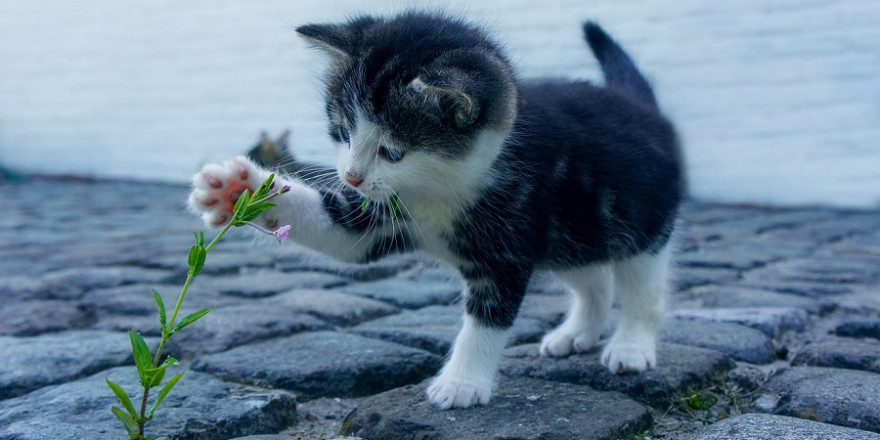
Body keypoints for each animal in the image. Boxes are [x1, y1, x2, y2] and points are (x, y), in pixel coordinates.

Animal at [191, 12, 688, 412]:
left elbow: (487, 319)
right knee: (594, 279)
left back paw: (630, 346)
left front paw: (461, 383)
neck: (437, 189)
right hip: (571, 232)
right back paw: (576, 333)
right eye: (343, 132)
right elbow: (341, 233)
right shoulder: (381, 214)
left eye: (392, 151)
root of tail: (641, 106)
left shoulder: (507, 243)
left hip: (640, 222)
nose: (351, 176)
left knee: (642, 287)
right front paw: (238, 190)